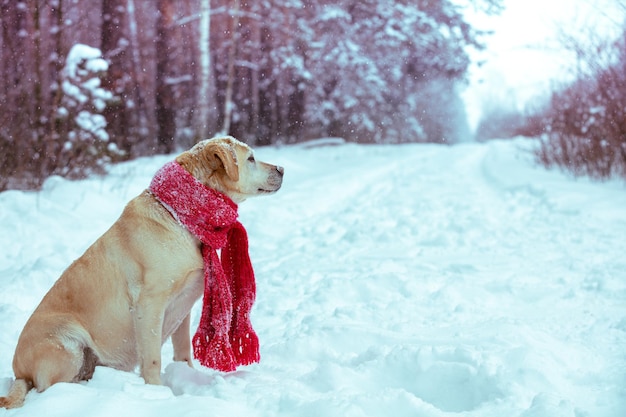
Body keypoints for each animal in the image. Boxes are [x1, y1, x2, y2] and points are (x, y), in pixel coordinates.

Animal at [0, 136, 282, 406]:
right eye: (251, 158)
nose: (281, 169)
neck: (179, 216)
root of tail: (18, 373)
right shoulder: (149, 305)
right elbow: (152, 358)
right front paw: (157, 392)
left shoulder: (184, 306)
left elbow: (183, 350)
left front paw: (187, 377)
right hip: (67, 345)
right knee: (51, 387)